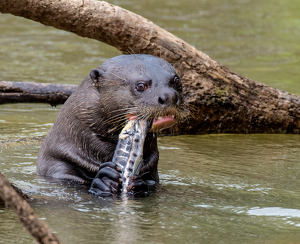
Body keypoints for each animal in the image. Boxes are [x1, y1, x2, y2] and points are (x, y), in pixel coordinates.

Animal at [36, 54, 186, 196]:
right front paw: (104, 179)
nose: (169, 96)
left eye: (177, 81)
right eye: (141, 86)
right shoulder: (57, 165)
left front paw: (139, 184)